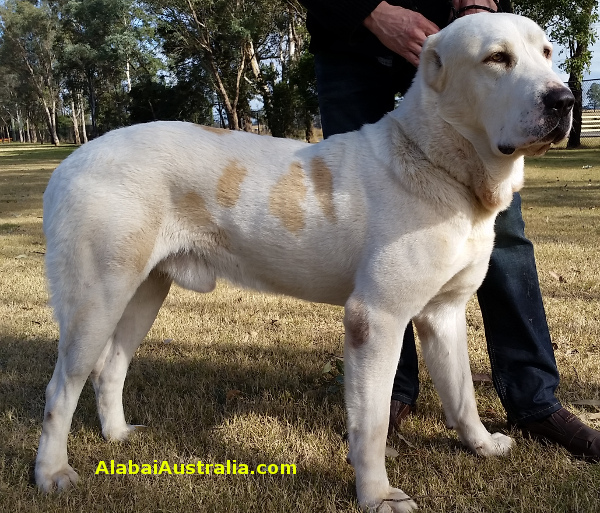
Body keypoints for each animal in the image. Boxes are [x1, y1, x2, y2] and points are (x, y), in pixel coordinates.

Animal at [36, 14, 572, 510]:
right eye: (497, 58)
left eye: (547, 53)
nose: (564, 100)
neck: (438, 162)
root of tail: (71, 161)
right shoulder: (375, 320)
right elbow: (372, 424)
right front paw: (376, 495)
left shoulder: (444, 314)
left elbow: (462, 394)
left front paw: (481, 446)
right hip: (96, 300)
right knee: (61, 388)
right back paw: (51, 472)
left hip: (145, 292)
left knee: (110, 368)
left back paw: (118, 436)